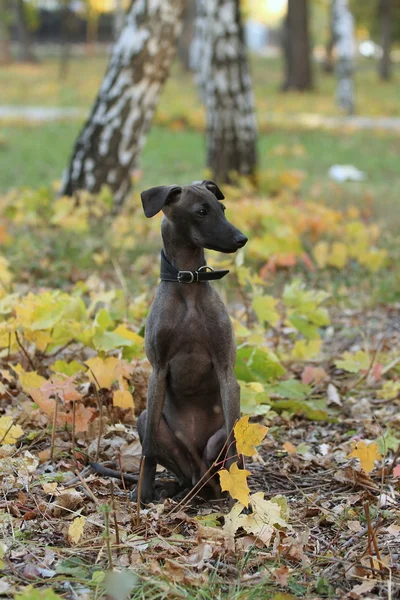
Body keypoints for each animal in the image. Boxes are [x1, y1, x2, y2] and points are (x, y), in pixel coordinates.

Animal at [138, 180, 248, 504]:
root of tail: (199, 476)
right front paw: (142, 494)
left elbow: (235, 447)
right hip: (146, 420)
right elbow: (148, 450)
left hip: (219, 437)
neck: (188, 284)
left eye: (222, 208)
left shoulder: (226, 372)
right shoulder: (158, 370)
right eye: (201, 211)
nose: (242, 239)